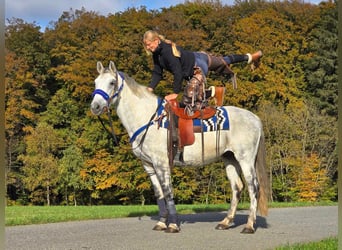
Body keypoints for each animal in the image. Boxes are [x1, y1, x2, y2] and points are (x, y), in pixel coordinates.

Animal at [91, 61, 270, 233]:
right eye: (95, 82)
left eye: (112, 82)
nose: (95, 107)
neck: (149, 118)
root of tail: (255, 118)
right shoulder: (149, 166)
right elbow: (159, 194)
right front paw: (161, 223)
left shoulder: (162, 164)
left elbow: (168, 192)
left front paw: (173, 225)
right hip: (230, 158)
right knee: (237, 187)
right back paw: (225, 222)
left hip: (245, 159)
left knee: (253, 188)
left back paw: (249, 226)